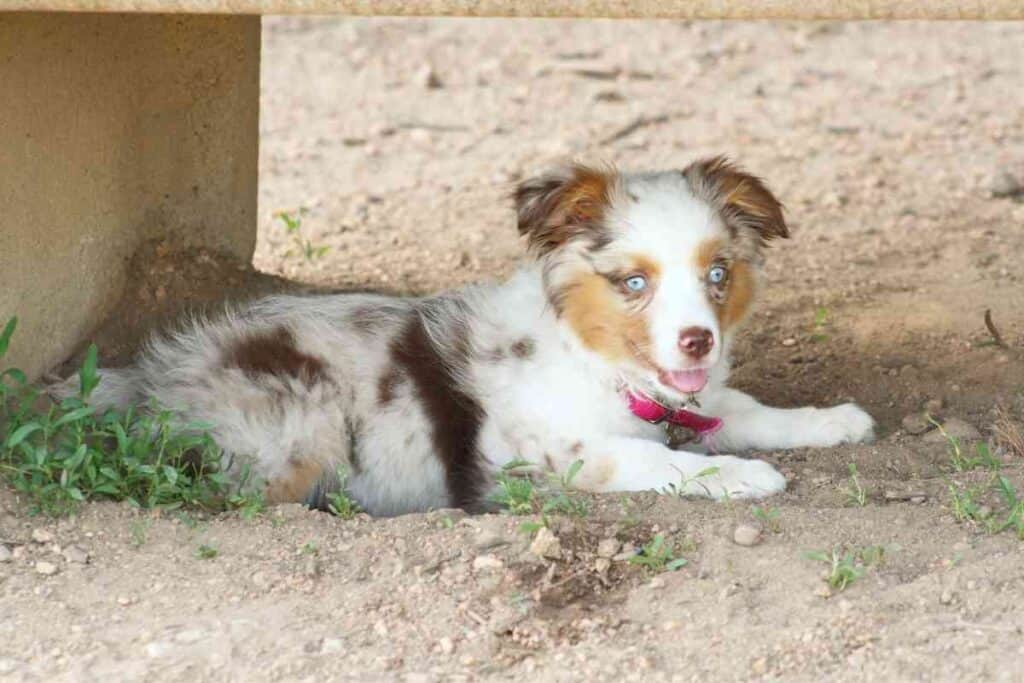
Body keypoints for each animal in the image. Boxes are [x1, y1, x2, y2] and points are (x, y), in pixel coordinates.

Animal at [64, 157, 876, 516]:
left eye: (718, 273)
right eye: (633, 283)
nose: (697, 341)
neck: (600, 366)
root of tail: (145, 380)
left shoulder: (687, 398)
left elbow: (743, 408)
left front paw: (834, 419)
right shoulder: (558, 454)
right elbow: (652, 458)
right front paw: (742, 476)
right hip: (300, 421)